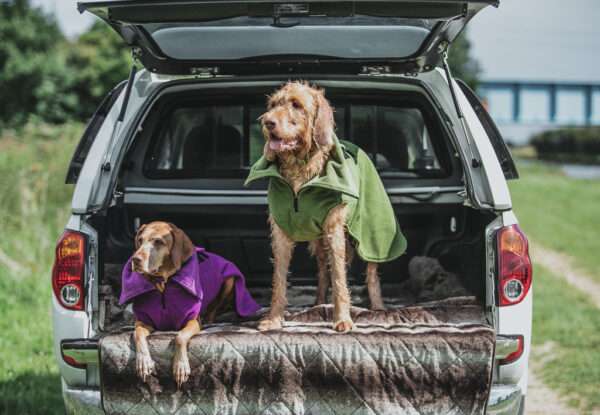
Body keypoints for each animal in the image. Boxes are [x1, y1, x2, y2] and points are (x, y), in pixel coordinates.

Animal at [120, 223, 260, 388]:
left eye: (159, 242)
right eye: (140, 240)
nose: (136, 259)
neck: (163, 285)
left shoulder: (192, 320)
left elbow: (180, 337)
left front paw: (180, 366)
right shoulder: (144, 321)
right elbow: (137, 333)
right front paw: (143, 361)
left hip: (229, 281)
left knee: (213, 309)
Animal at [245, 83, 408, 334]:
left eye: (296, 105)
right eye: (273, 104)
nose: (267, 122)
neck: (300, 171)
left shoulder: (334, 230)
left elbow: (340, 277)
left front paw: (343, 319)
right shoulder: (281, 233)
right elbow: (279, 279)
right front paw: (274, 319)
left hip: (370, 233)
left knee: (371, 270)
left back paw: (378, 307)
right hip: (317, 240)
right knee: (322, 268)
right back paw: (318, 302)